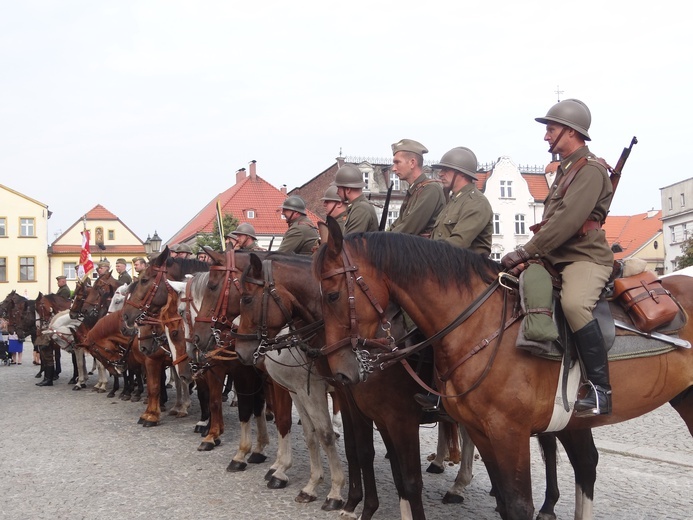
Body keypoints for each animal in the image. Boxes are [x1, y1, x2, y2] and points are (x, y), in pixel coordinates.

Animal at [314, 222, 692, 520]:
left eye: (332, 295)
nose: (342, 372)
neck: (478, 323)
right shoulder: (480, 431)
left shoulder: (506, 433)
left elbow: (516, 503)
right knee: (585, 464)